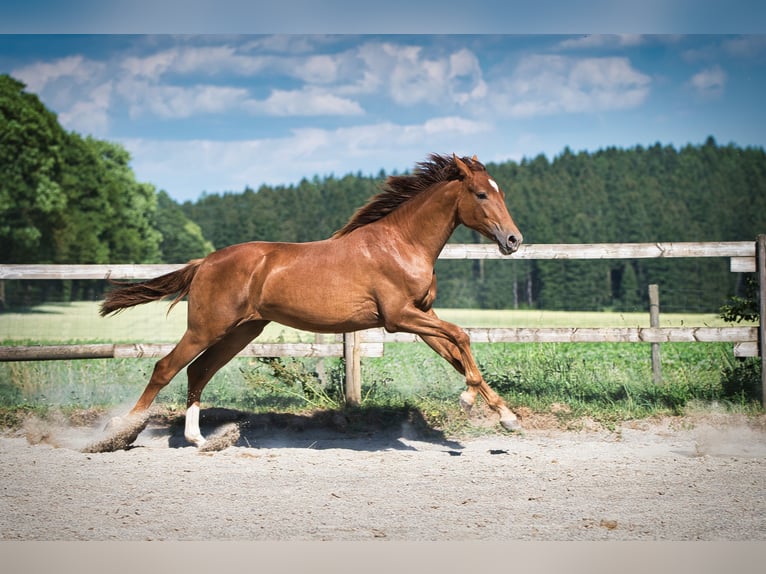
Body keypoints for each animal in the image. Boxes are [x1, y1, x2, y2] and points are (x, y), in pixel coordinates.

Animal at [100, 154, 520, 450]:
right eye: (481, 194)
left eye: (502, 193)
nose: (513, 240)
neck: (402, 244)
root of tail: (204, 262)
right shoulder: (398, 317)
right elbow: (462, 336)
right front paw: (470, 400)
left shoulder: (421, 315)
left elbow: (456, 353)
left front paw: (507, 416)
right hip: (206, 327)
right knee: (166, 367)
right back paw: (119, 432)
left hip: (241, 331)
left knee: (197, 371)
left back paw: (198, 439)